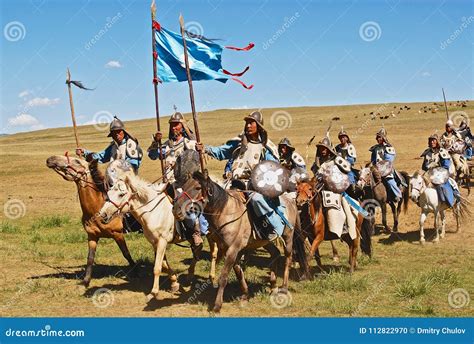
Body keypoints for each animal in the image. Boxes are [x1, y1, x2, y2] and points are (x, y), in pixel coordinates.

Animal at [45, 155, 135, 286]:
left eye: (77, 161)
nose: (51, 159)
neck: (97, 209)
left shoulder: (118, 234)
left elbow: (126, 253)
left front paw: (136, 271)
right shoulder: (92, 236)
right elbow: (90, 258)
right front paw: (86, 280)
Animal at [101, 163, 219, 300]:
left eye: (121, 194)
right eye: (109, 192)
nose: (102, 214)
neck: (153, 212)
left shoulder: (162, 241)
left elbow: (157, 267)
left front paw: (153, 292)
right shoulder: (155, 243)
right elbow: (164, 264)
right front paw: (174, 283)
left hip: (211, 235)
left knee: (213, 253)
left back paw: (211, 277)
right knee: (198, 249)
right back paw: (190, 275)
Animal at [172, 171, 310, 314]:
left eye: (198, 188)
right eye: (185, 186)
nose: (176, 210)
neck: (225, 211)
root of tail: (291, 201)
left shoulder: (232, 249)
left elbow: (223, 277)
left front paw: (217, 306)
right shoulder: (229, 250)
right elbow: (238, 273)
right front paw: (245, 295)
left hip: (288, 236)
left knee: (288, 258)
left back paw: (284, 287)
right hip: (264, 241)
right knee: (276, 253)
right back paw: (273, 285)